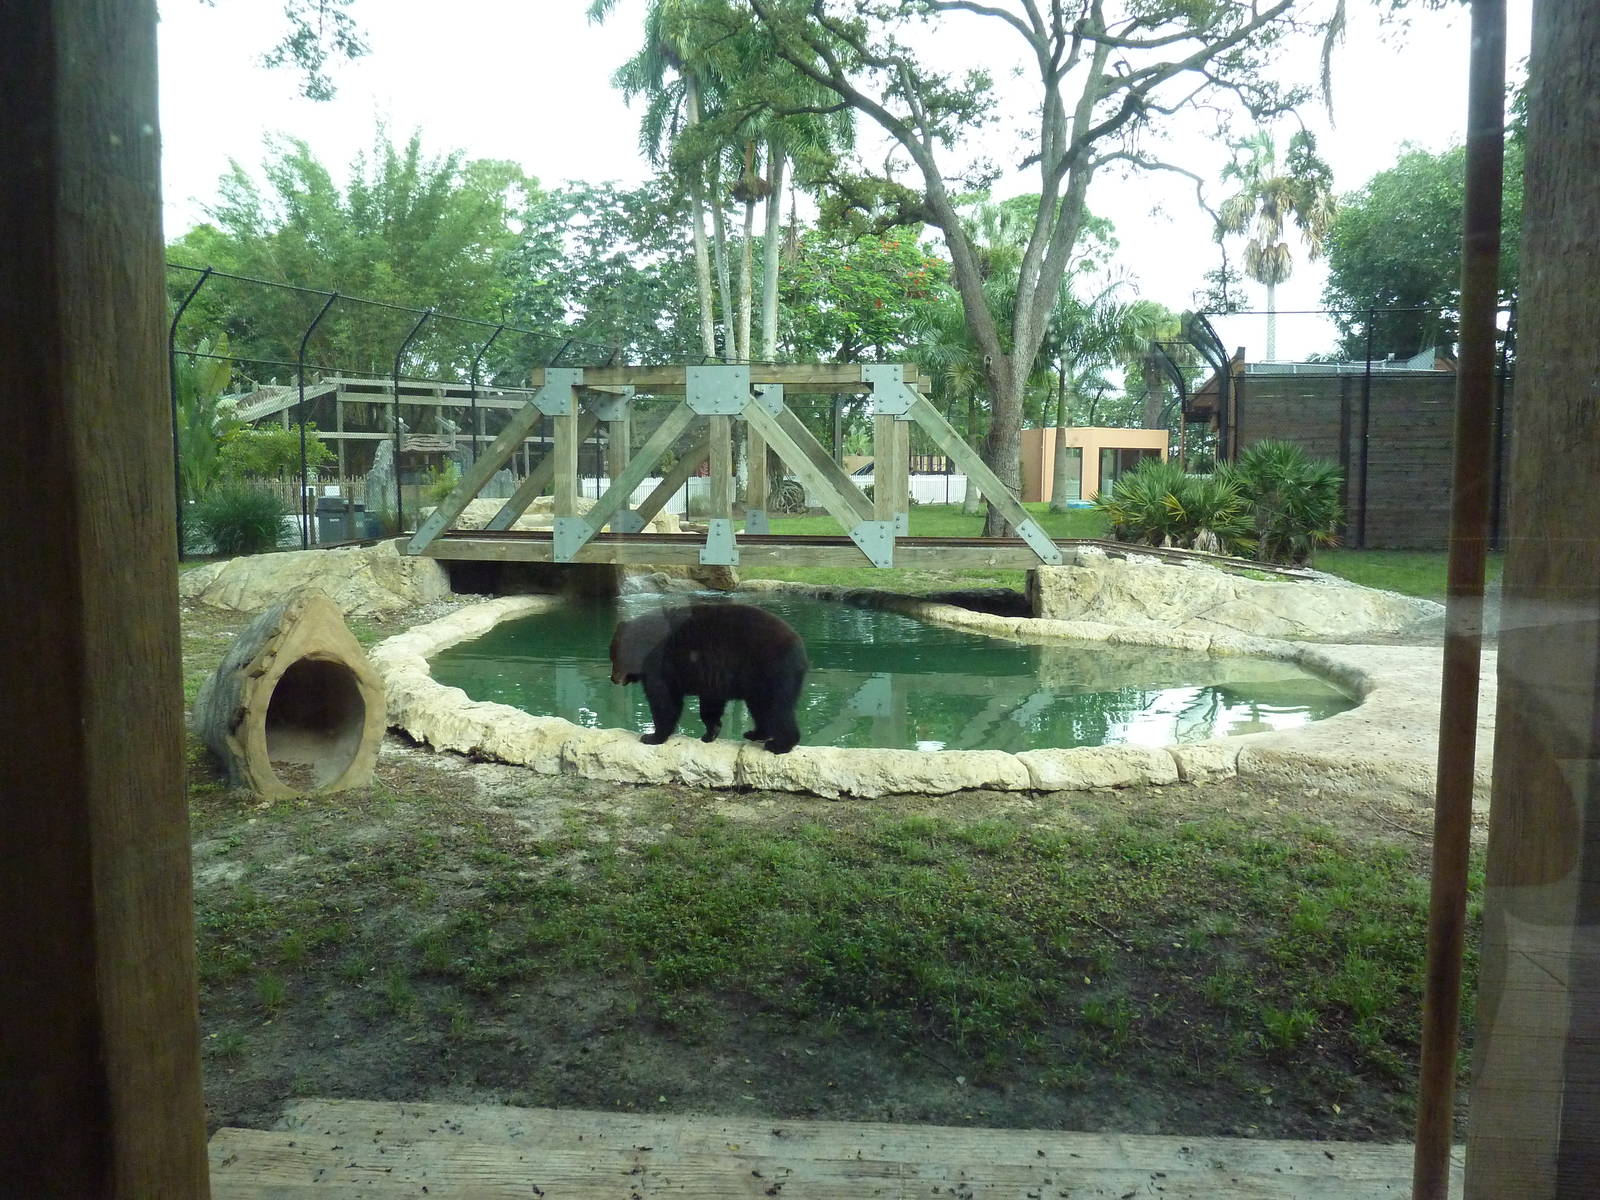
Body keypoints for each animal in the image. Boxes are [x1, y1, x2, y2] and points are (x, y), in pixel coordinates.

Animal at [608, 601, 809, 754]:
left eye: (614, 657)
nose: (613, 678)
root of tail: (801, 651)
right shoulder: (711, 674)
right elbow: (710, 702)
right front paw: (711, 732)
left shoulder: (660, 665)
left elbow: (664, 701)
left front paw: (652, 737)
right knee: (761, 707)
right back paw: (756, 733)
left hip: (772, 670)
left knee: (777, 708)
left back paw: (779, 745)